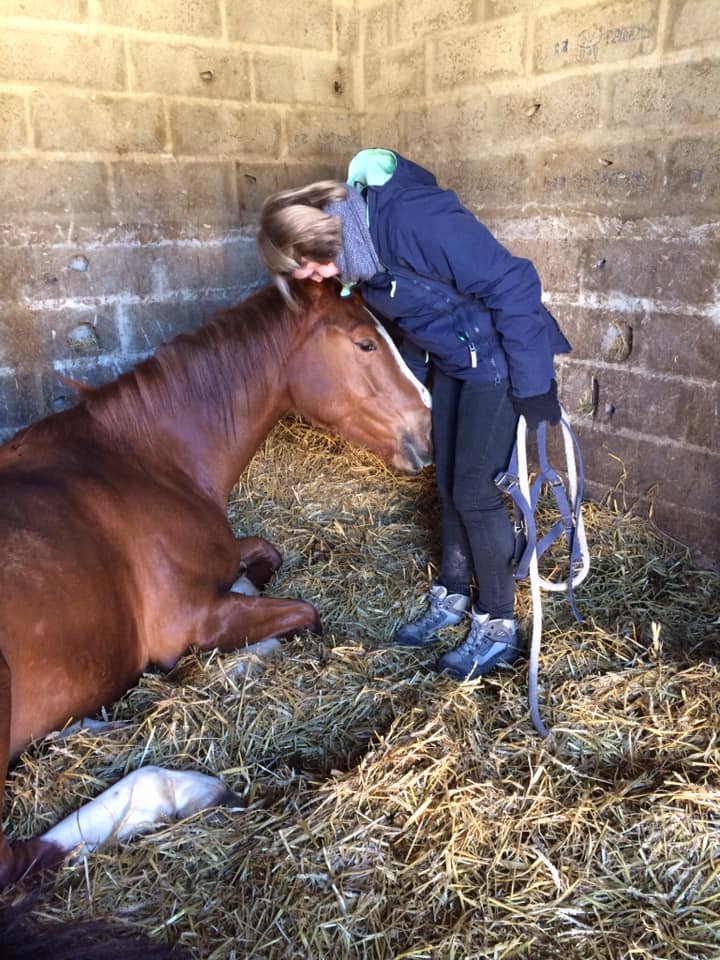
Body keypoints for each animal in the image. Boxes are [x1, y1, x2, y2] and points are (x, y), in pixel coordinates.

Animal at [0, 279, 432, 890]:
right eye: (366, 343)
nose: (429, 428)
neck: (145, 460)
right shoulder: (190, 620)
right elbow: (301, 616)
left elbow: (264, 558)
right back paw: (182, 787)